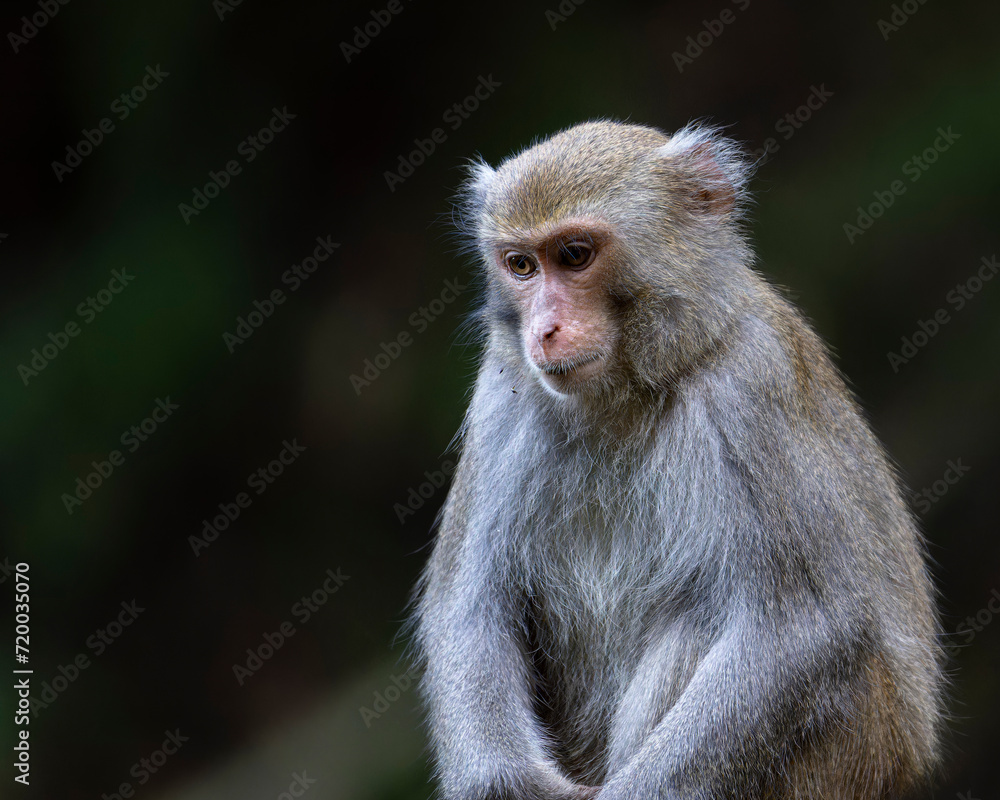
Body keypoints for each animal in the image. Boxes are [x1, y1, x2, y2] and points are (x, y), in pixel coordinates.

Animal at [412, 120, 944, 800]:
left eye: (576, 255)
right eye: (521, 265)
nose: (545, 330)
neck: (630, 393)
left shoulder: (750, 386)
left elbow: (801, 632)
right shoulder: (501, 398)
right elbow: (471, 613)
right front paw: (504, 783)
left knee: (698, 624)